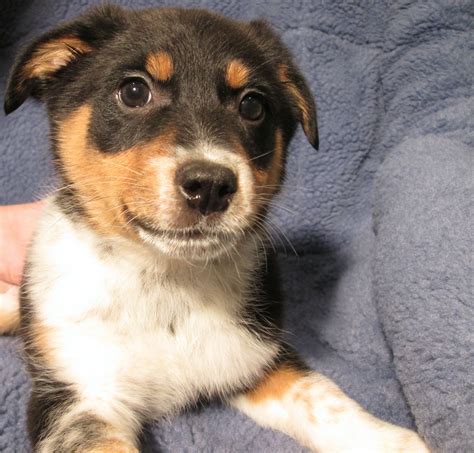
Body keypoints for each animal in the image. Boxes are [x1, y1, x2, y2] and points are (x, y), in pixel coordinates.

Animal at [1, 4, 428, 452]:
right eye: (134, 91)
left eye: (253, 105)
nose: (209, 186)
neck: (166, 283)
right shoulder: (78, 395)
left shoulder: (255, 358)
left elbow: (322, 397)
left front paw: (394, 441)